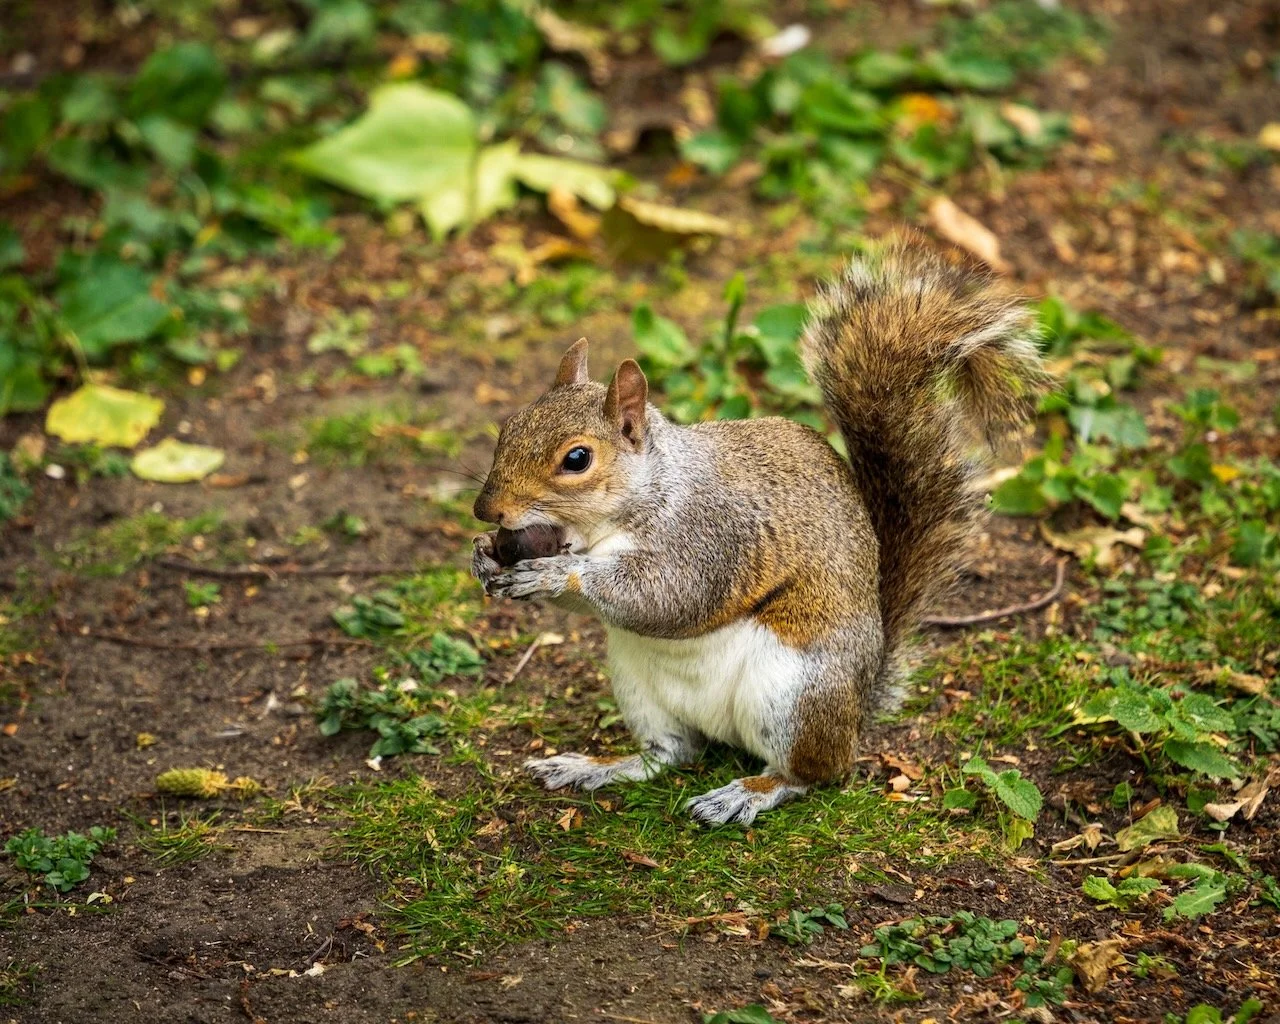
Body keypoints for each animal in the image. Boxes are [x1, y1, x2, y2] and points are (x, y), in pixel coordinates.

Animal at [471, 233, 1049, 825]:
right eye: (509, 425)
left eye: (577, 459)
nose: (485, 510)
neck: (624, 511)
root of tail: (858, 704)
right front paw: (486, 559)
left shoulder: (712, 536)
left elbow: (669, 595)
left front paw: (553, 574)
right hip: (638, 686)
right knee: (669, 754)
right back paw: (596, 767)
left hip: (795, 693)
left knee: (810, 774)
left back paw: (747, 793)